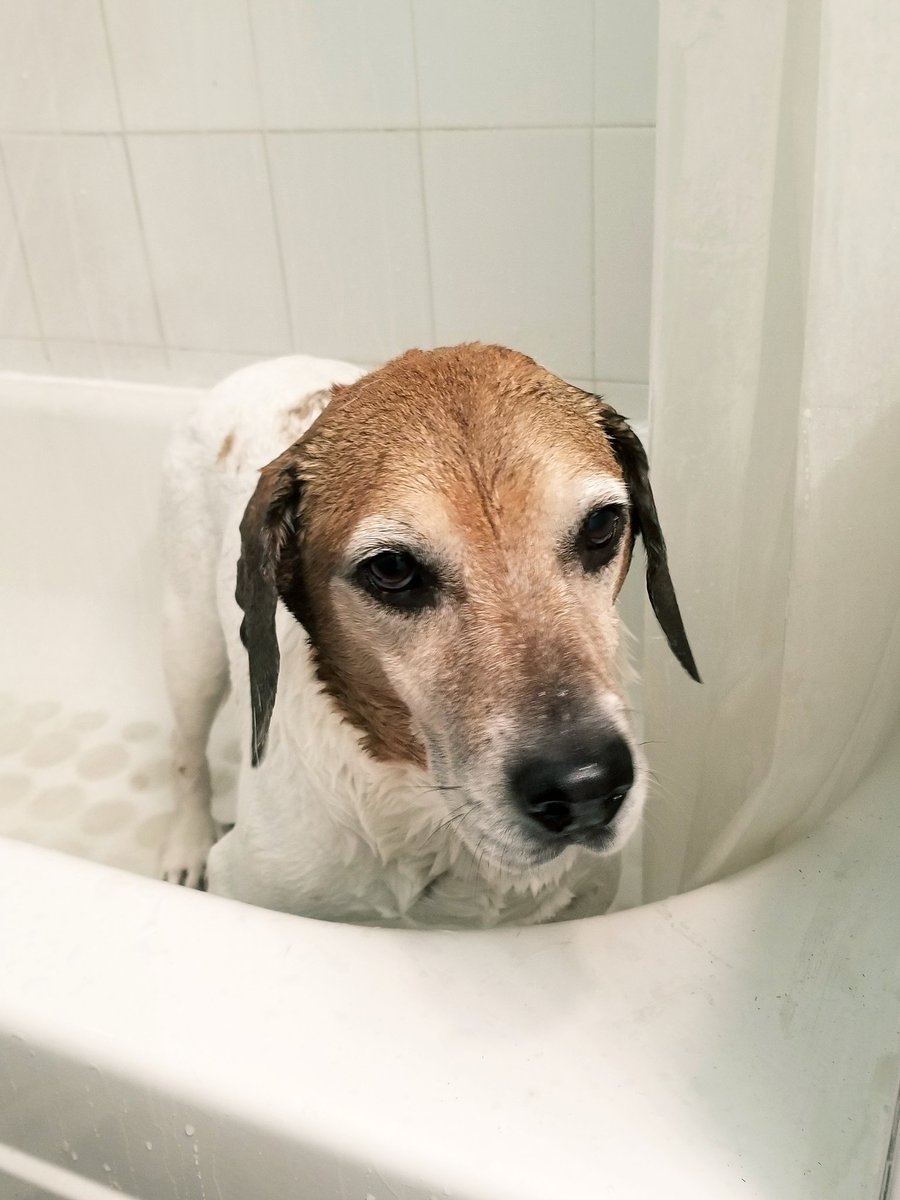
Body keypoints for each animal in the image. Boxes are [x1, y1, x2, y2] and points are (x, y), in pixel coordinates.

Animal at [158, 344, 698, 927]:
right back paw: (186, 847)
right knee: (187, 754)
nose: (586, 785)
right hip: (192, 652)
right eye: (392, 568)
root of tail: (266, 364)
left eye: (601, 525)